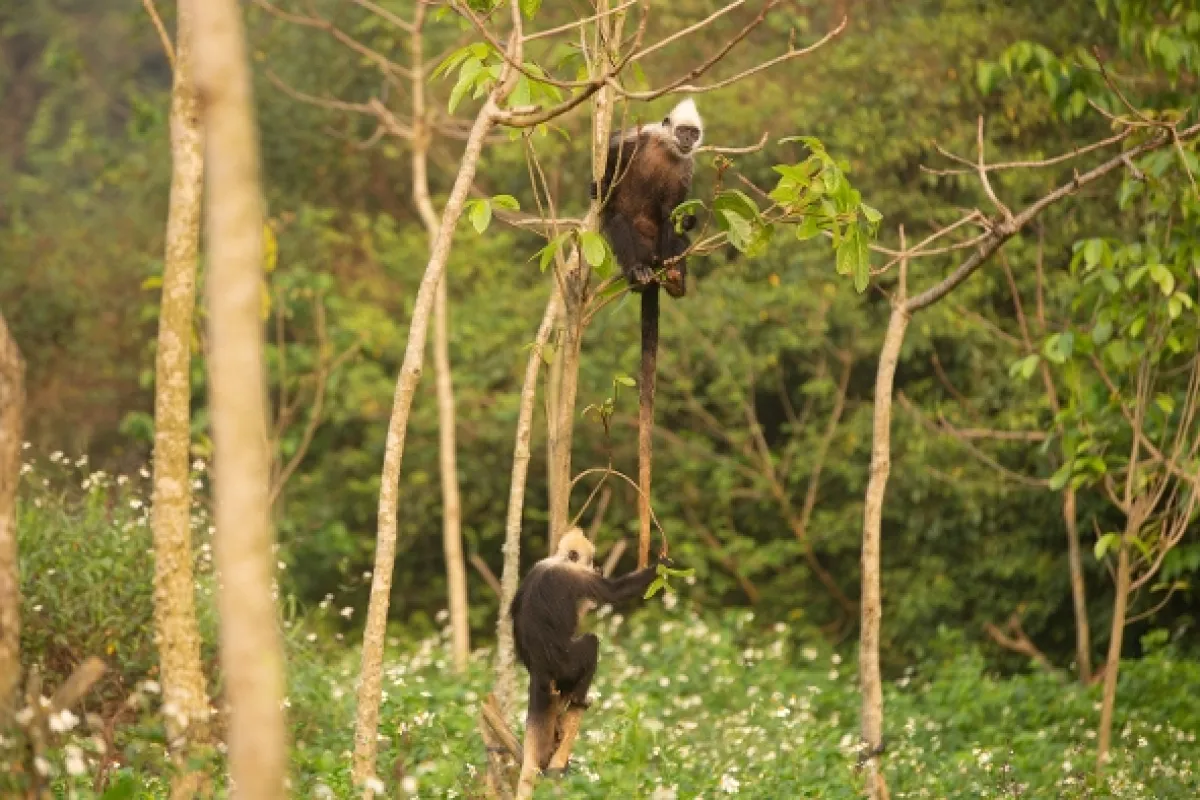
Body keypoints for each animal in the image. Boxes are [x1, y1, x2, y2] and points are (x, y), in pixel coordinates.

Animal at [510, 527, 668, 778]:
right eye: (591, 559)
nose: (596, 566)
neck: (560, 560)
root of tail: (539, 668)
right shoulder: (579, 577)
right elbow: (614, 593)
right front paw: (663, 565)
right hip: (567, 663)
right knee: (591, 643)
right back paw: (578, 699)